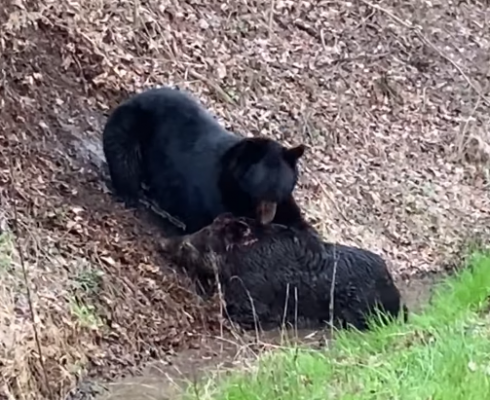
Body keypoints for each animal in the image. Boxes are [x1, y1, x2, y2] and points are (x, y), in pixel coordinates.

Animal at [103, 86, 306, 233]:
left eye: (281, 191)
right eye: (261, 192)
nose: (266, 220)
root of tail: (135, 97)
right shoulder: (213, 193)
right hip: (132, 124)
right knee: (124, 158)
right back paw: (134, 194)